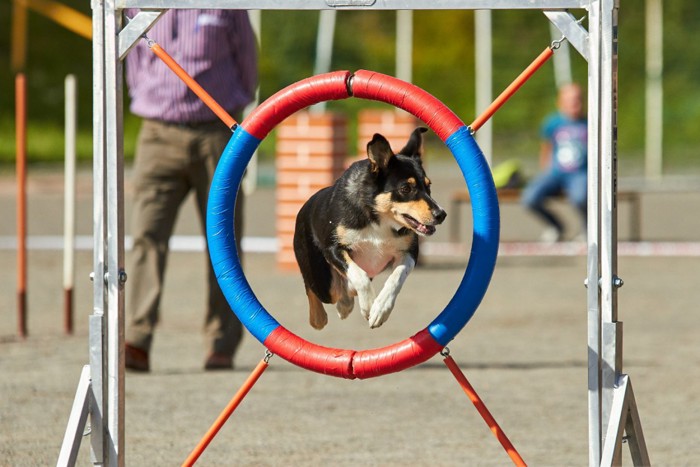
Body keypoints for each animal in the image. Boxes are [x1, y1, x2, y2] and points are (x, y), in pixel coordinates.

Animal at [292, 126, 446, 330]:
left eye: (429, 186)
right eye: (406, 188)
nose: (441, 214)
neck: (378, 218)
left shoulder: (409, 252)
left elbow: (396, 277)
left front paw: (380, 309)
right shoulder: (333, 248)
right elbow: (359, 275)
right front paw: (368, 306)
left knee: (345, 290)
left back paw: (344, 305)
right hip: (321, 279)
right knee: (314, 289)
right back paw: (319, 317)